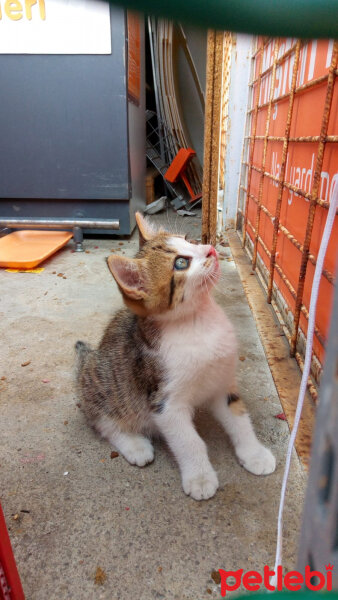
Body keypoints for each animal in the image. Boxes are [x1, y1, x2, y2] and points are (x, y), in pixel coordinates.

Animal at [75, 213, 276, 500]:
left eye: (189, 240)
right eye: (181, 263)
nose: (210, 249)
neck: (198, 322)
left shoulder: (222, 384)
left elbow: (239, 419)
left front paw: (254, 454)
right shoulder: (165, 403)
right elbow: (189, 442)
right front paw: (200, 477)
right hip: (100, 383)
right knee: (104, 422)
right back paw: (135, 445)